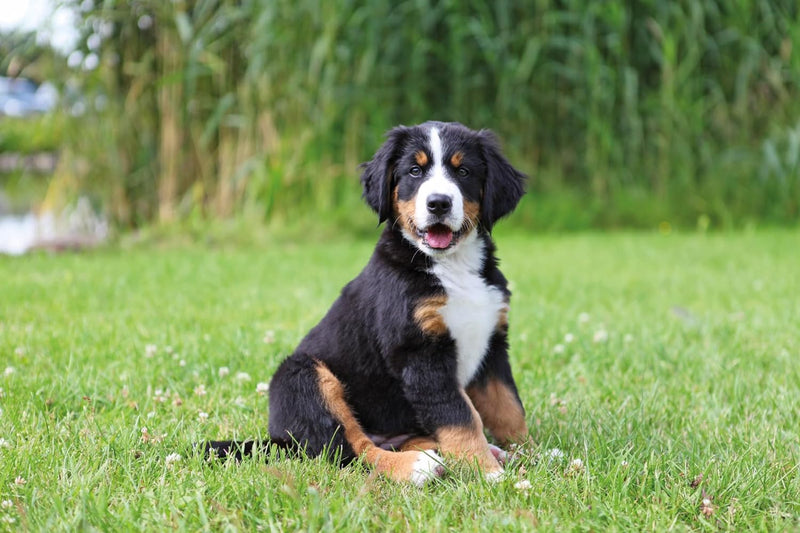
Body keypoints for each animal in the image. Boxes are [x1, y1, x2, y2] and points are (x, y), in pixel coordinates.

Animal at [209, 121, 528, 486]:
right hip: (304, 376)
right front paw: (488, 473)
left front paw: (533, 454)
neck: (452, 266)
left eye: (463, 171)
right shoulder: (421, 353)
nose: (439, 203)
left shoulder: (492, 344)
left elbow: (509, 408)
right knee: (348, 449)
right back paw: (417, 466)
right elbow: (460, 416)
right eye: (414, 171)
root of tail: (280, 439)